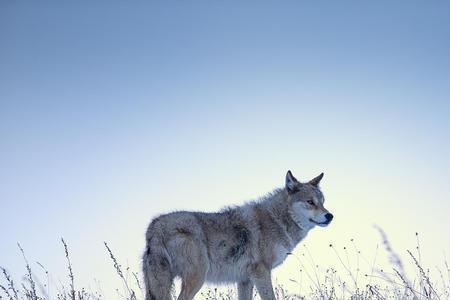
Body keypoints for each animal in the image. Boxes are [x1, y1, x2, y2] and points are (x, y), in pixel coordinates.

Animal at [142, 171, 332, 300]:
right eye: (310, 202)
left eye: (323, 202)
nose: (330, 216)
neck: (277, 219)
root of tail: (154, 227)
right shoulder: (261, 272)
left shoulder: (245, 280)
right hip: (197, 277)